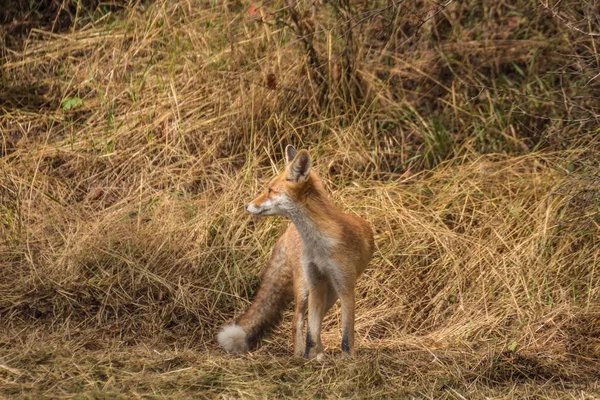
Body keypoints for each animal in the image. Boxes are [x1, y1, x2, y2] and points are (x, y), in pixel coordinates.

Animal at [218, 145, 372, 358]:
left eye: (270, 190)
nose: (246, 205)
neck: (319, 245)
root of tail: (287, 231)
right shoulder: (315, 282)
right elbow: (311, 332)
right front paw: (309, 358)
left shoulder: (345, 285)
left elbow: (346, 333)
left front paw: (347, 359)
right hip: (305, 287)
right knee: (297, 320)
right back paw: (300, 356)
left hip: (330, 292)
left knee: (313, 321)